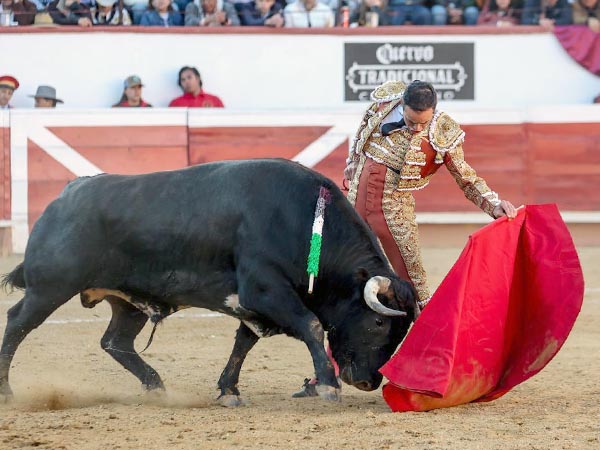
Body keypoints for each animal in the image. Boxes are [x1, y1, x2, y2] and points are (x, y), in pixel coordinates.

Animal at [0, 158, 420, 404]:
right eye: (378, 322)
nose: (369, 382)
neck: (304, 222)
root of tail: (66, 195)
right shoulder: (265, 289)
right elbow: (312, 325)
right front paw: (328, 385)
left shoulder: (256, 302)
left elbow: (243, 343)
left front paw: (228, 390)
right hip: (49, 287)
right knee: (17, 324)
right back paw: (6, 391)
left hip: (128, 302)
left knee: (115, 341)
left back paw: (155, 386)